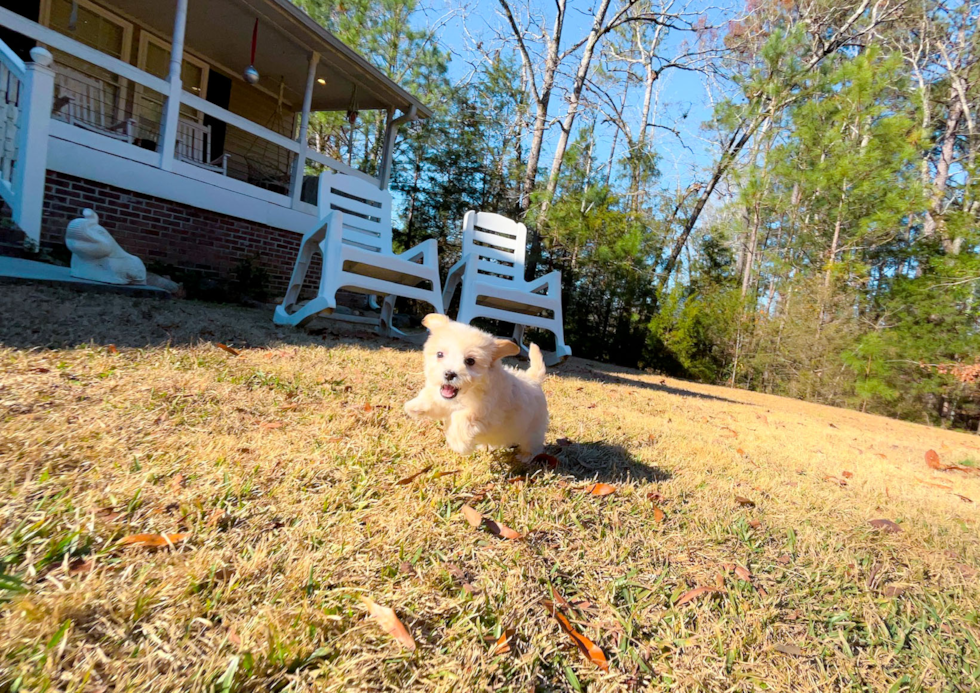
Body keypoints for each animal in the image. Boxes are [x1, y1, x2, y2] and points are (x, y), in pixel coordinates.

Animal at [402, 314, 548, 460]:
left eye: (470, 361)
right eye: (440, 354)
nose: (449, 374)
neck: (465, 394)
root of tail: (533, 380)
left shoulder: (485, 412)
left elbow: (463, 418)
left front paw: (459, 443)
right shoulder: (444, 399)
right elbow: (434, 399)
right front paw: (416, 406)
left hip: (533, 429)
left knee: (533, 444)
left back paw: (525, 456)